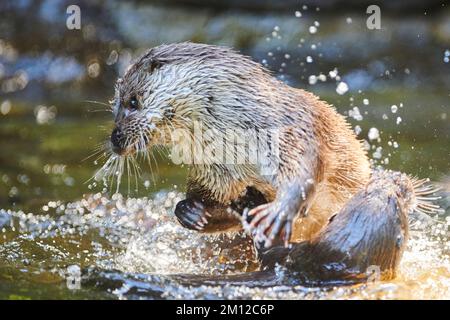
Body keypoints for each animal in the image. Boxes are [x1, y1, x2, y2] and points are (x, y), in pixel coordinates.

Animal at [100, 42, 442, 282]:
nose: (115, 139)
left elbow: (303, 172)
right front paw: (190, 210)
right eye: (114, 106)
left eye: (133, 102)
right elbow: (219, 201)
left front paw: (278, 211)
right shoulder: (214, 168)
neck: (234, 130)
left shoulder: (289, 131)